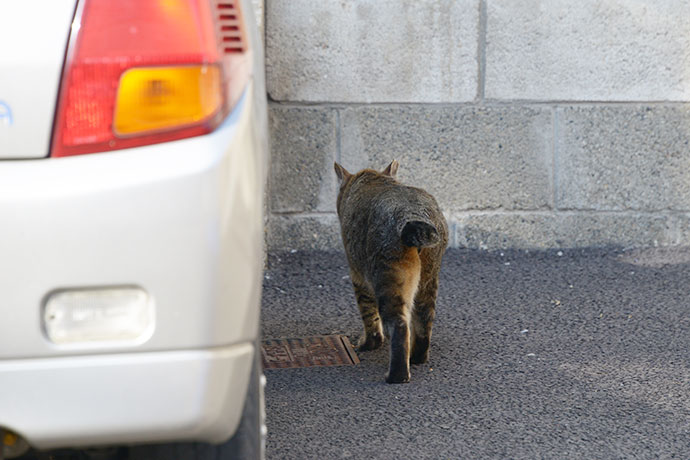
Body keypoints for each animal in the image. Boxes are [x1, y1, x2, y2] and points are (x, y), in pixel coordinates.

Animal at [332, 160, 446, 382]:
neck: (373, 178)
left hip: (388, 277)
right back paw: (416, 358)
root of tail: (413, 213)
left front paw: (369, 344)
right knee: (424, 322)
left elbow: (369, 316)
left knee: (399, 326)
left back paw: (397, 375)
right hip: (428, 279)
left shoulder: (358, 277)